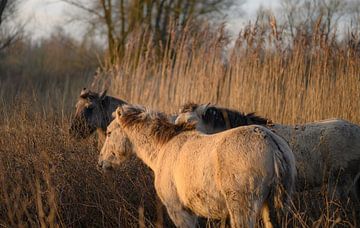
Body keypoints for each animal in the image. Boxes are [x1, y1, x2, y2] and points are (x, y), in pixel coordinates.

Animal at [97, 104, 296, 227]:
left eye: (109, 133)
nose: (101, 163)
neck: (165, 146)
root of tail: (272, 144)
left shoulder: (179, 211)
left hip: (242, 209)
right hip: (272, 207)